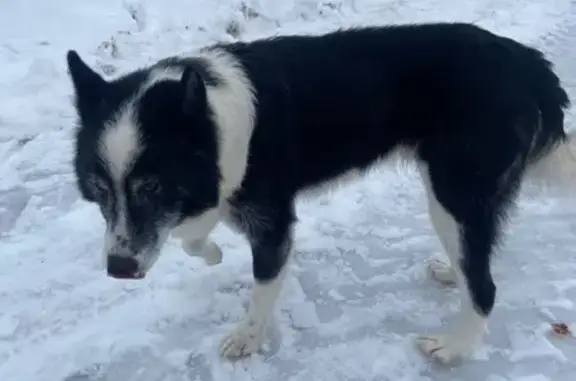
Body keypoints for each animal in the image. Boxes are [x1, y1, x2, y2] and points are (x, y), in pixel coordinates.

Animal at [65, 21, 572, 366]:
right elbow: (192, 237)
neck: (211, 113)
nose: (119, 269)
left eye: (151, 187)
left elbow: (261, 289)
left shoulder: (272, 223)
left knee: (485, 286)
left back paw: (455, 347)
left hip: (452, 195)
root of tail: (532, 65)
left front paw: (249, 337)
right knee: (474, 259)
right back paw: (452, 272)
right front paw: (210, 252)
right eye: (99, 190)